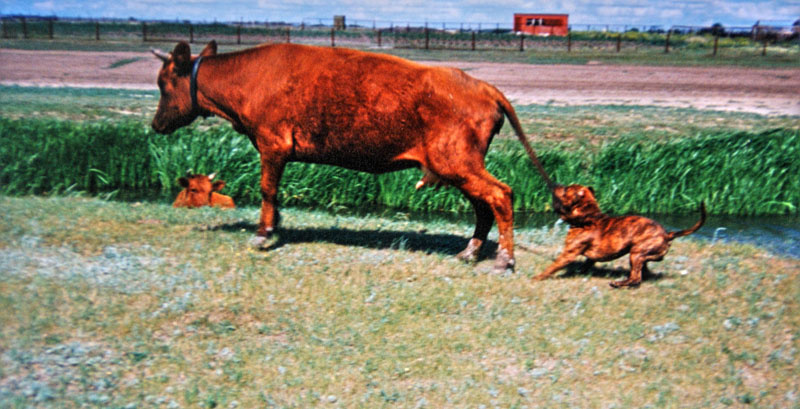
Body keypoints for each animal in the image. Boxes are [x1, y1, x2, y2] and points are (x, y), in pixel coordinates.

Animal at [152, 40, 552, 270]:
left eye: (162, 84)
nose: (155, 124)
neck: (248, 77)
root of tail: (482, 86)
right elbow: (274, 193)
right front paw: (275, 224)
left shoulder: (272, 145)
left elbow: (267, 190)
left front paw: (263, 233)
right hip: (459, 168)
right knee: (483, 205)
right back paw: (470, 253)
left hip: (457, 163)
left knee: (501, 195)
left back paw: (504, 259)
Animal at [536, 184, 704, 286]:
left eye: (565, 190)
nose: (556, 185)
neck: (588, 217)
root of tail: (668, 234)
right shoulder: (589, 257)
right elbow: (586, 264)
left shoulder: (568, 254)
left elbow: (552, 267)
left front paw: (538, 277)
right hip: (640, 255)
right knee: (642, 272)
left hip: (636, 254)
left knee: (635, 278)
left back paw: (618, 283)